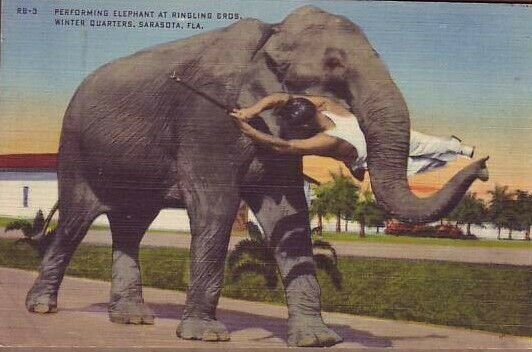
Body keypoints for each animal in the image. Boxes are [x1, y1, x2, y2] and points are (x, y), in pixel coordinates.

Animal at [26, 4, 490, 346]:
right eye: (334, 64)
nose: (483, 166)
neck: (274, 31)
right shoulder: (205, 122)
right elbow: (216, 207)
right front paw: (206, 336)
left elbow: (289, 211)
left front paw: (318, 340)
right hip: (74, 151)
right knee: (75, 223)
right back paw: (43, 309)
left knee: (130, 227)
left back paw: (132, 319)